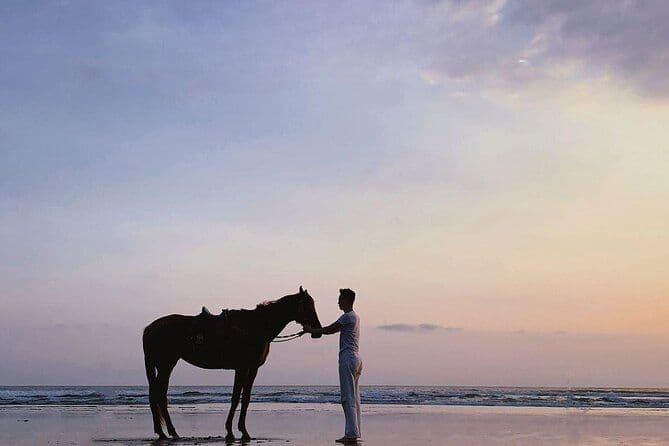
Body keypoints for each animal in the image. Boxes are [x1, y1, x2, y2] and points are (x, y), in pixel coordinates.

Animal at [142, 286, 322, 441]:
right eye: (307, 305)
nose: (318, 331)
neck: (256, 326)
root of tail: (149, 328)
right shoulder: (241, 368)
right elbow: (235, 398)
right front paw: (231, 431)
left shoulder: (252, 368)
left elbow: (245, 398)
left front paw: (243, 431)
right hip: (166, 364)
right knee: (159, 394)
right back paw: (169, 432)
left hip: (165, 365)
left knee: (158, 394)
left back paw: (164, 432)